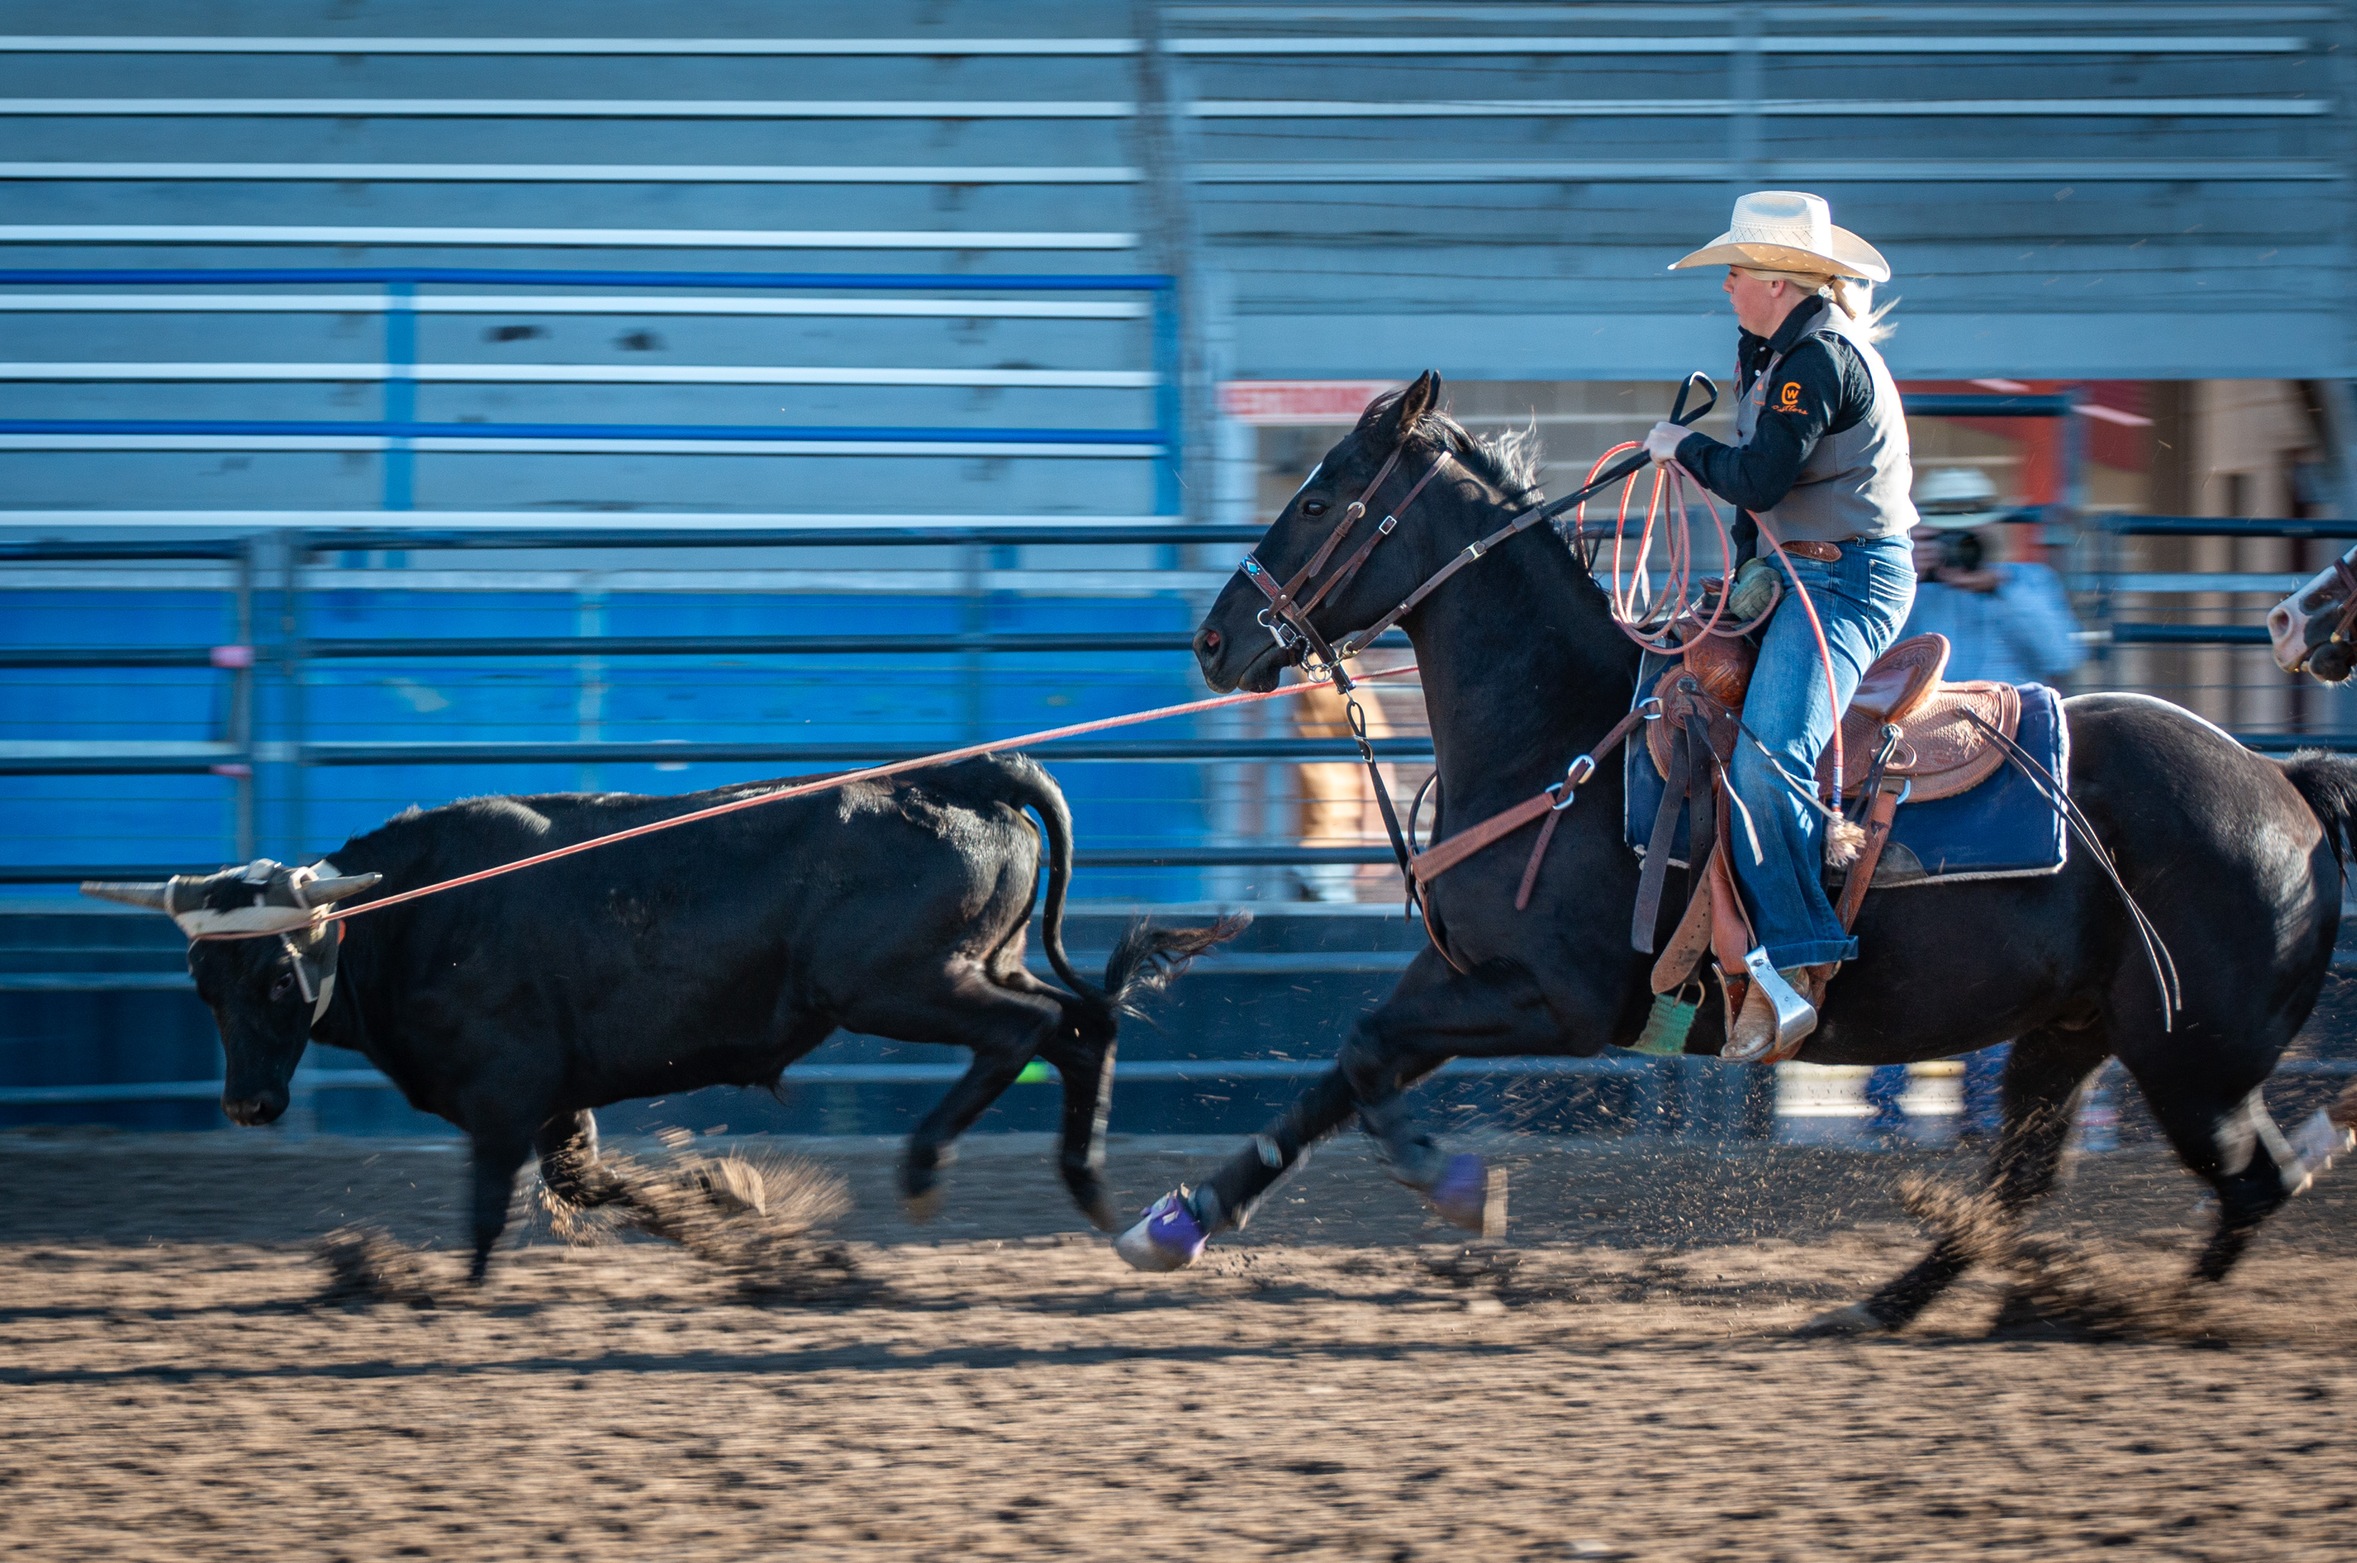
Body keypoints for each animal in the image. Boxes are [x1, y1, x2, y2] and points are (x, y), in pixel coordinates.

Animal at [1121, 370, 2357, 1329]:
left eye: (1319, 495)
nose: (1214, 640)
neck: (1564, 732)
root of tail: (2283, 783)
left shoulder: (1561, 1001)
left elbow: (1373, 1057)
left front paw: (1458, 1187)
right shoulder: (1462, 967)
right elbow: (1342, 1067)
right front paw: (1176, 1220)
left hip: (2190, 1059)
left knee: (2253, 1182)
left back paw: (2141, 1314)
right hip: (2072, 1036)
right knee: (2031, 1178)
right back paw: (1890, 1305)